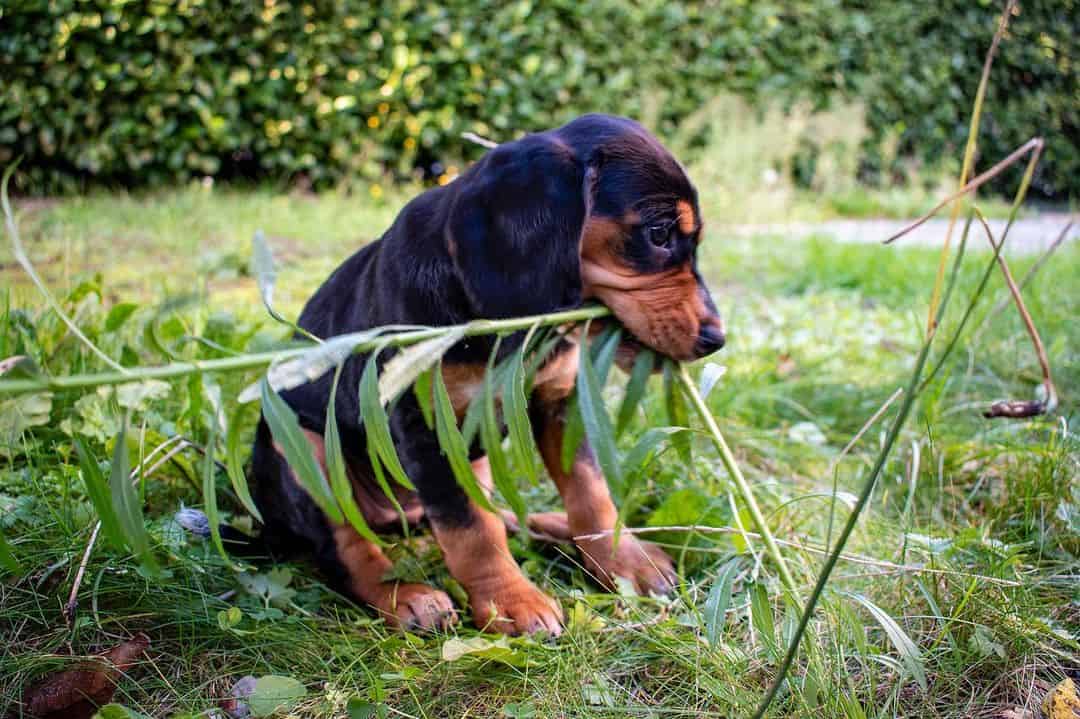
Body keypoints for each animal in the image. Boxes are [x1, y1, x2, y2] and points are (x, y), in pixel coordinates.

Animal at [250, 113, 725, 634]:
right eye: (659, 234)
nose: (716, 338)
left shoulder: (560, 402)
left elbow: (589, 491)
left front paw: (623, 560)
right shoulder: (427, 427)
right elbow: (471, 529)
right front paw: (511, 602)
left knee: (502, 515)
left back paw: (564, 530)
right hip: (304, 451)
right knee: (347, 548)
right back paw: (408, 597)